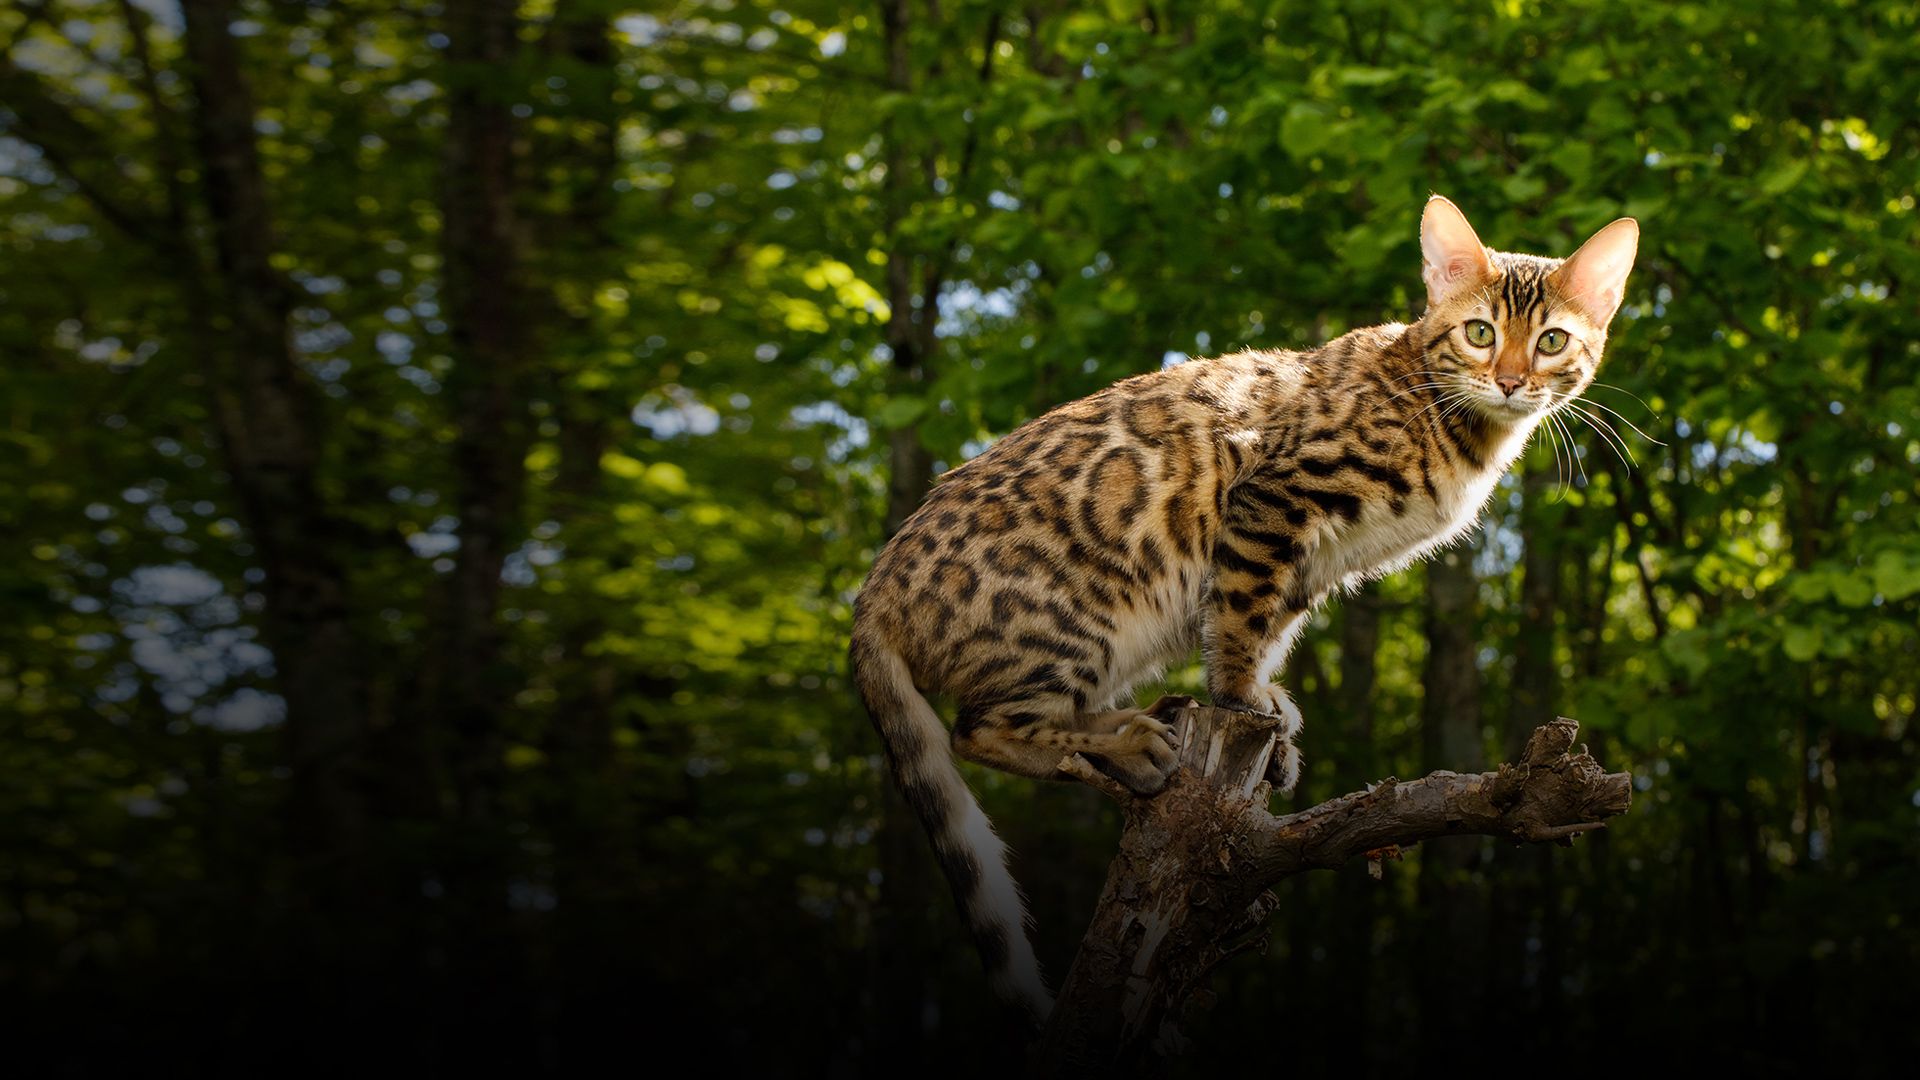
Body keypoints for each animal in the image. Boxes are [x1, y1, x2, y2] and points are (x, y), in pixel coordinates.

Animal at [852, 197, 1635, 1022]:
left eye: (1551, 341)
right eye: (1480, 332)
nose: (1511, 381)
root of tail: (874, 587)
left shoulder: (1313, 563)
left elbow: (1269, 626)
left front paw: (1267, 707)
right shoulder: (1274, 497)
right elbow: (1238, 616)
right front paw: (1237, 695)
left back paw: (1149, 717)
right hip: (1076, 622)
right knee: (978, 729)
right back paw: (1129, 743)